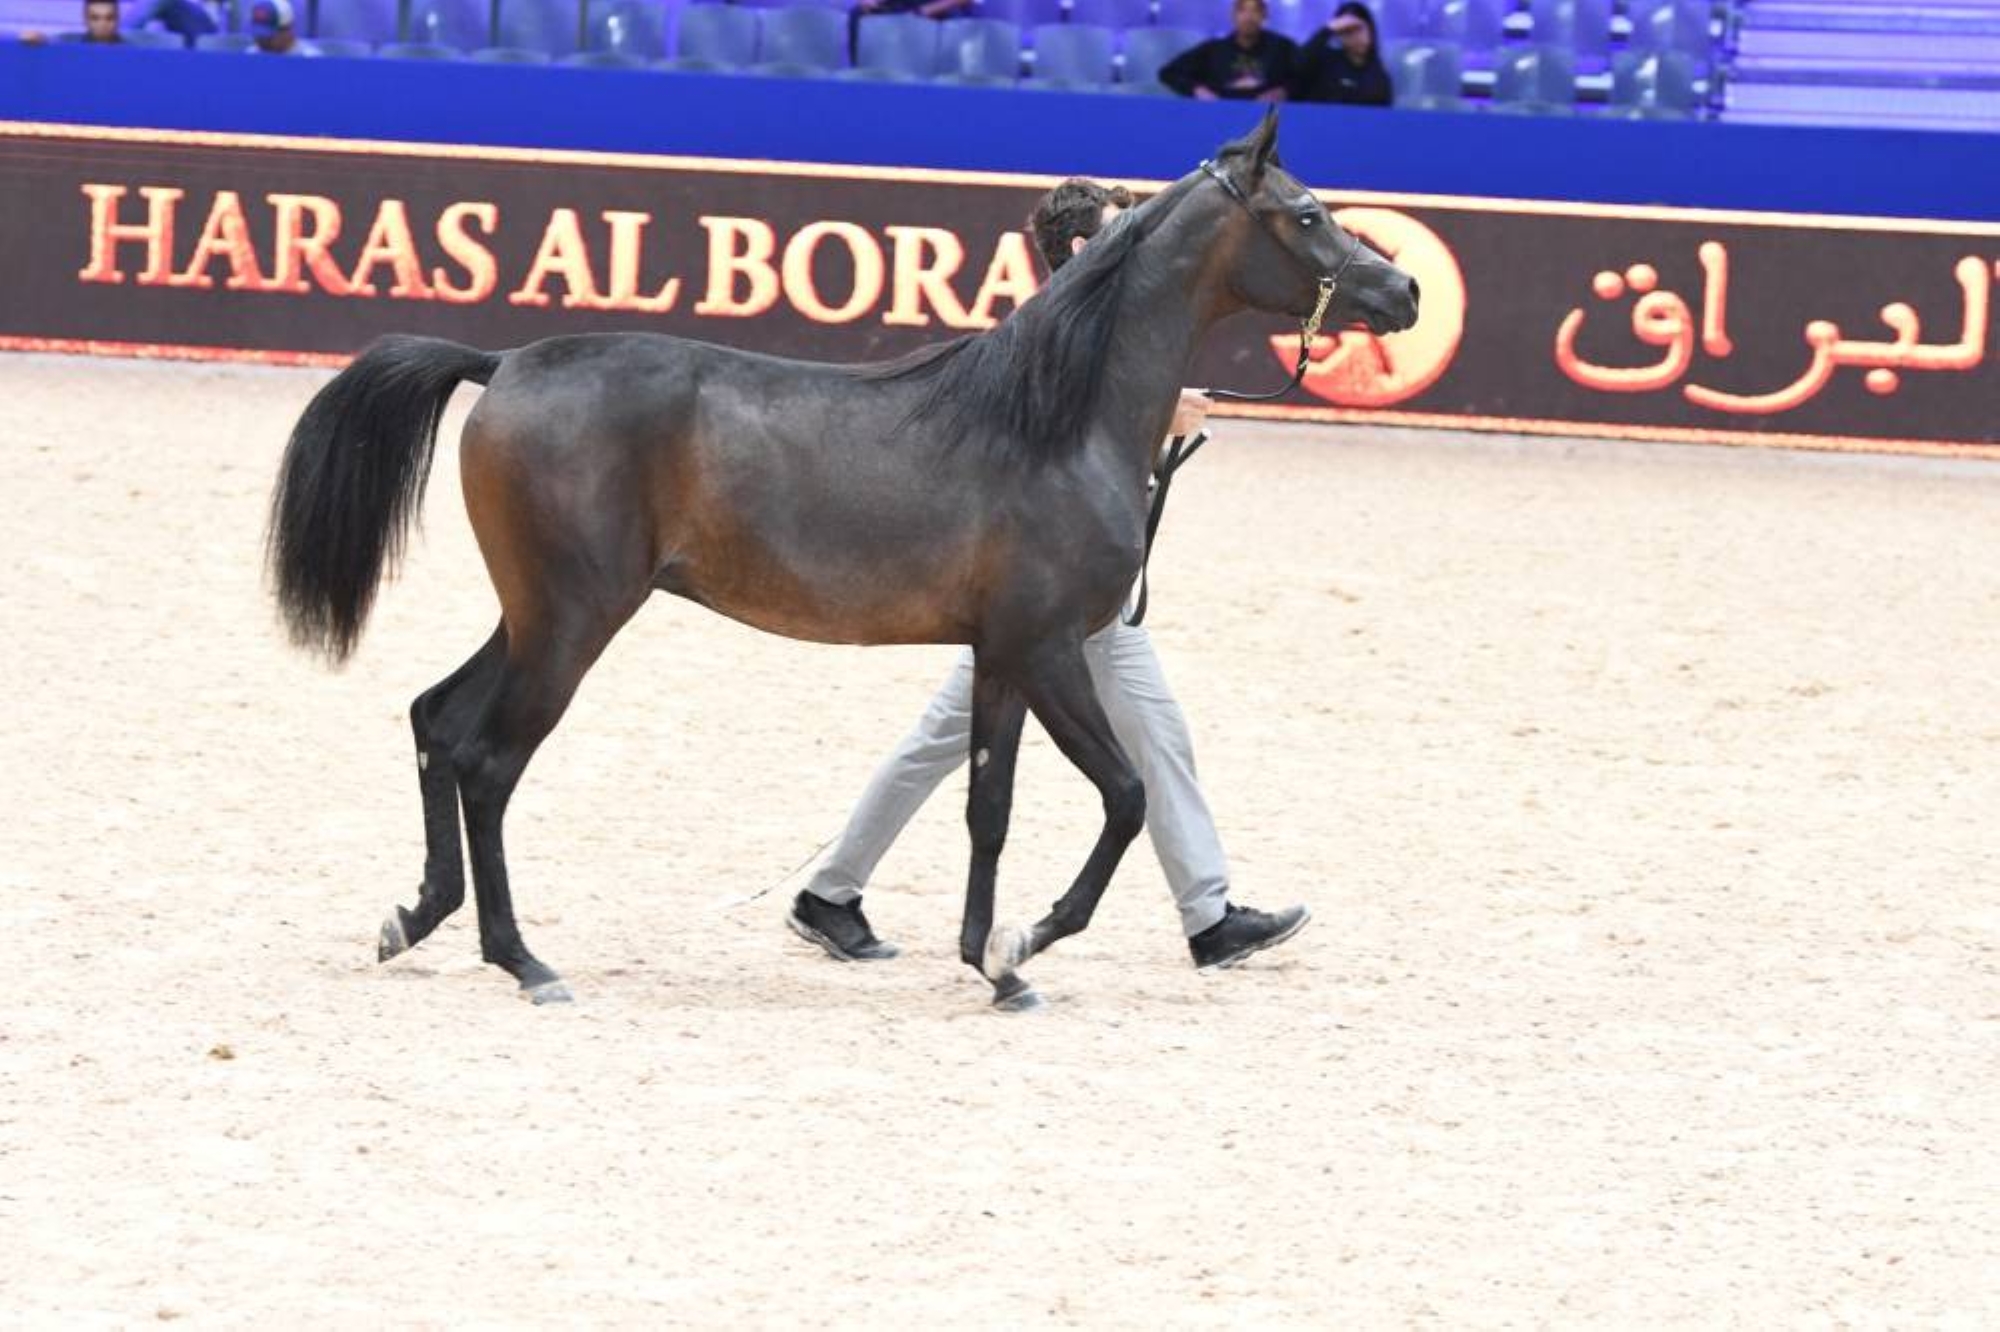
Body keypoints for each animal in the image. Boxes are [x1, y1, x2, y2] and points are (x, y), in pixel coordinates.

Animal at [266, 111, 1420, 1010]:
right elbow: (1127, 796)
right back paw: (523, 960)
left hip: (537, 613)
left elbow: (988, 809)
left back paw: (413, 918)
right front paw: (1030, 940)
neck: (1053, 420)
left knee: (437, 720)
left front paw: (992, 963)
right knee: (487, 760)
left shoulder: (1002, 657)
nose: (1403, 290)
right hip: (572, 621)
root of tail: (504, 362)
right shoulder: (1048, 648)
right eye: (1308, 213)